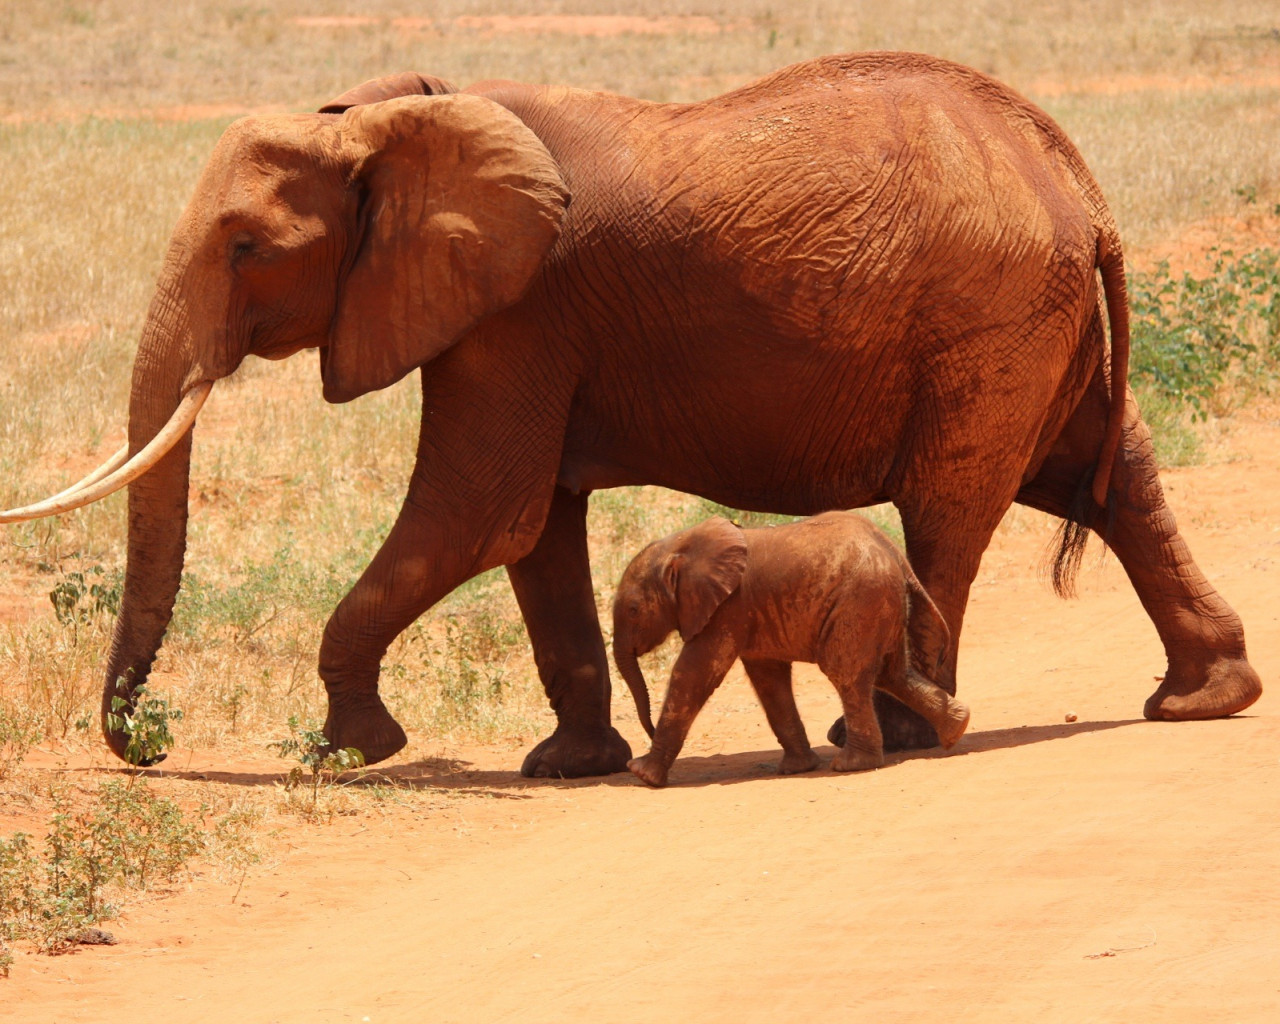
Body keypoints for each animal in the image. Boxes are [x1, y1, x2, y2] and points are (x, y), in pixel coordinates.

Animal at [612, 513, 971, 788]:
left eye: (633, 610)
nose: (648, 729)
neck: (680, 545)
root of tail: (896, 556)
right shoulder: (750, 614)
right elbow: (769, 681)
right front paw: (798, 768)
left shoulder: (728, 609)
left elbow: (693, 674)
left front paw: (642, 774)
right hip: (880, 604)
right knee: (893, 674)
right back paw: (957, 729)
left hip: (859, 602)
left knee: (848, 676)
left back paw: (852, 764)